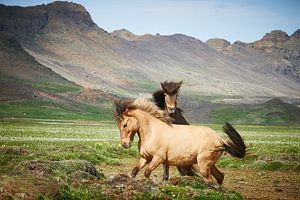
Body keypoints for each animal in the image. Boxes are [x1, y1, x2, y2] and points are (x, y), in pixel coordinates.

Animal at [113, 98, 247, 184]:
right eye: (118, 126)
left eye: (125, 124)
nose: (125, 144)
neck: (152, 131)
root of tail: (220, 140)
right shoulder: (145, 157)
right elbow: (135, 171)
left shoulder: (158, 158)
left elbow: (147, 173)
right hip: (210, 164)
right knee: (220, 177)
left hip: (203, 165)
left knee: (210, 181)